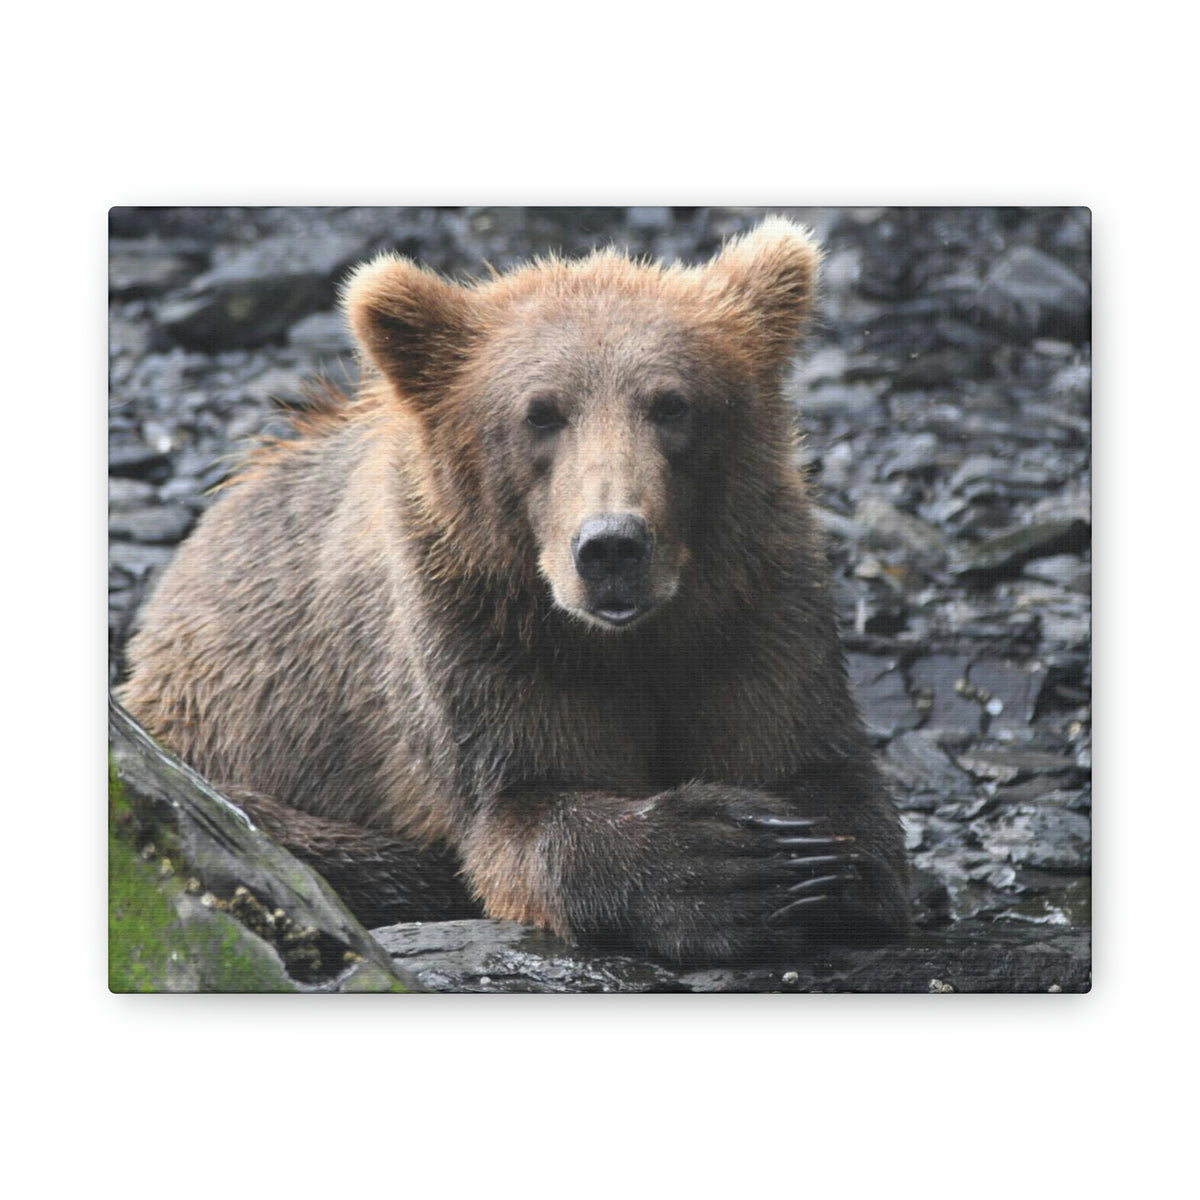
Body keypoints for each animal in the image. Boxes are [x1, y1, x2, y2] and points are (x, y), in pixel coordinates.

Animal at [119, 217, 911, 965]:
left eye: (672, 404)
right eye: (540, 412)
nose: (612, 546)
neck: (630, 639)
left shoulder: (755, 605)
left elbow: (822, 773)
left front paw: (806, 858)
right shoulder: (481, 633)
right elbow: (522, 808)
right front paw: (724, 863)